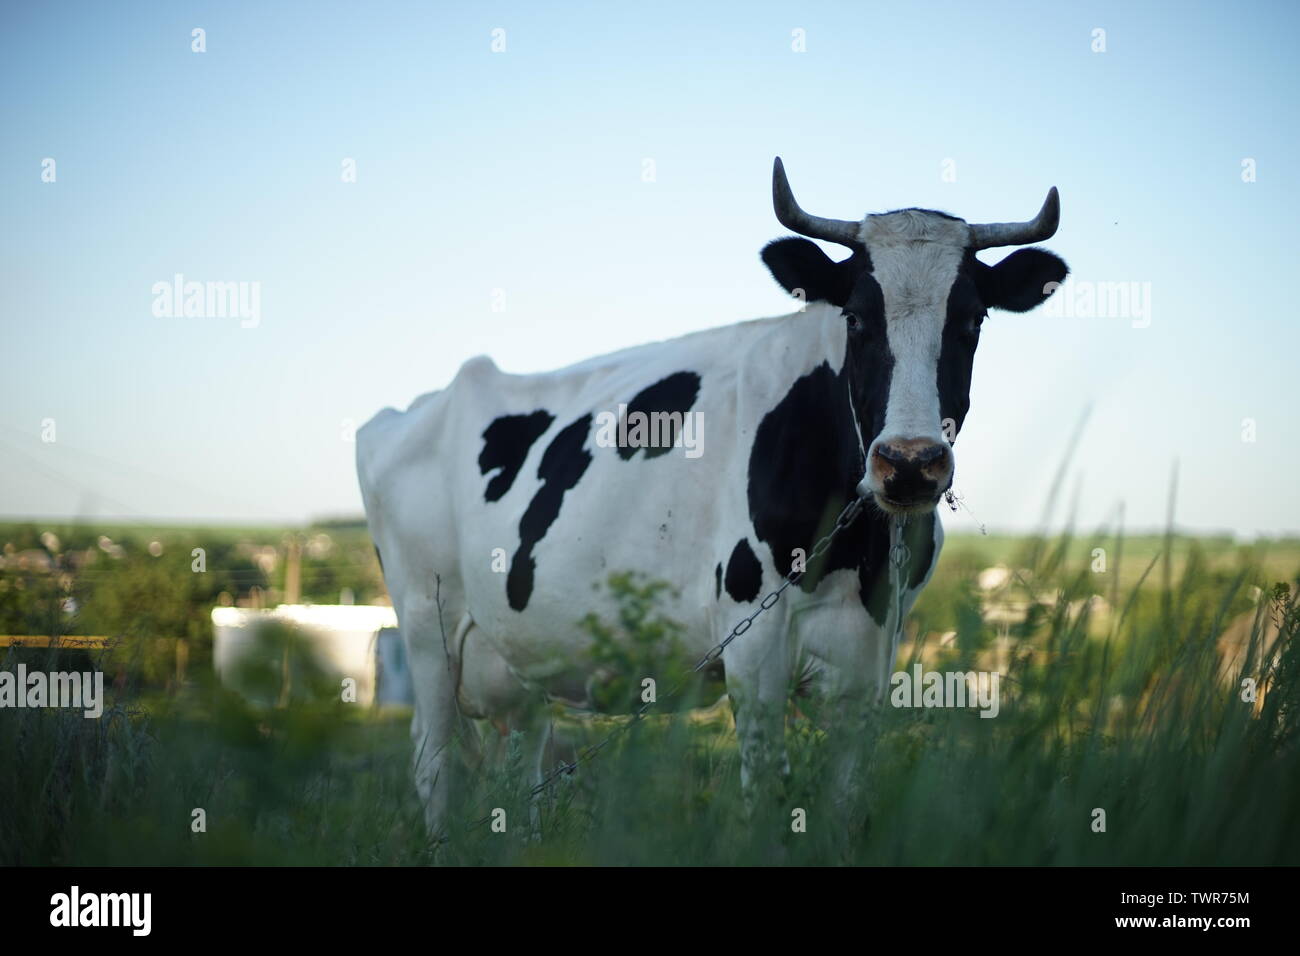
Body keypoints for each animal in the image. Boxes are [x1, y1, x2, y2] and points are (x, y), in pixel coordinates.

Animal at [357, 158, 1068, 835]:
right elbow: (765, 789)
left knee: (521, 761)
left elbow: (847, 801)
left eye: (972, 319)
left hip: (517, 654)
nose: (910, 463)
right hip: (426, 626)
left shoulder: (874, 649)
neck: (861, 550)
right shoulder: (752, 643)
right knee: (434, 762)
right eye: (857, 317)